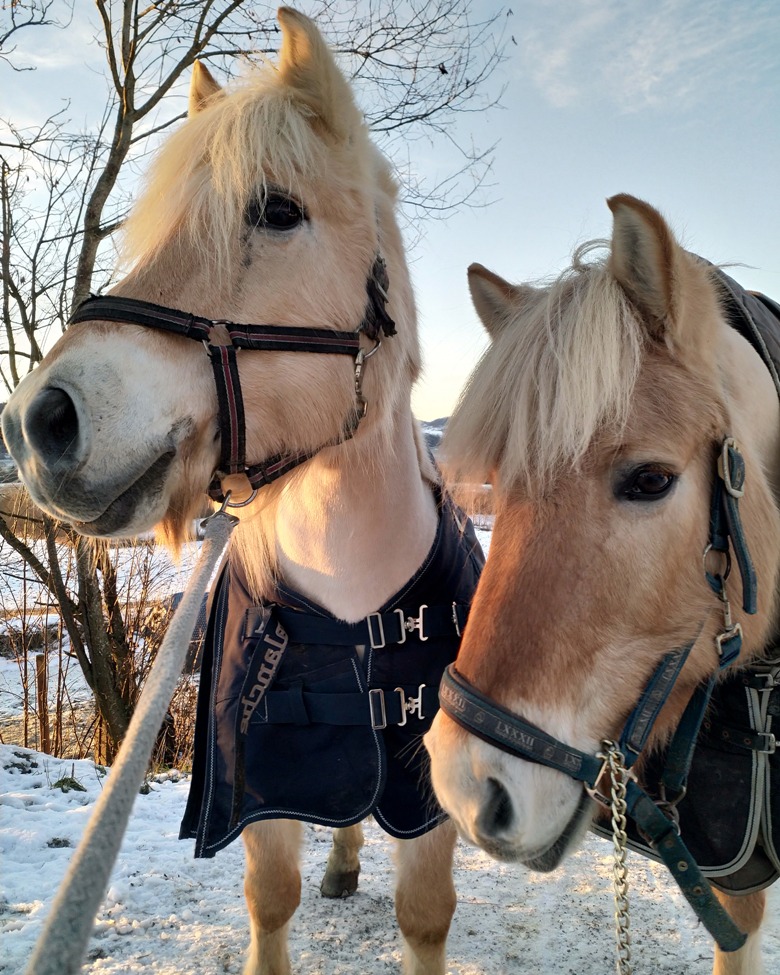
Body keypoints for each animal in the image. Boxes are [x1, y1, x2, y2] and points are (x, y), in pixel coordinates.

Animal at [1, 9, 464, 975]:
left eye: (277, 211)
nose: (36, 424)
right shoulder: (259, 778)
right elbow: (271, 893)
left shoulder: (426, 787)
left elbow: (425, 912)